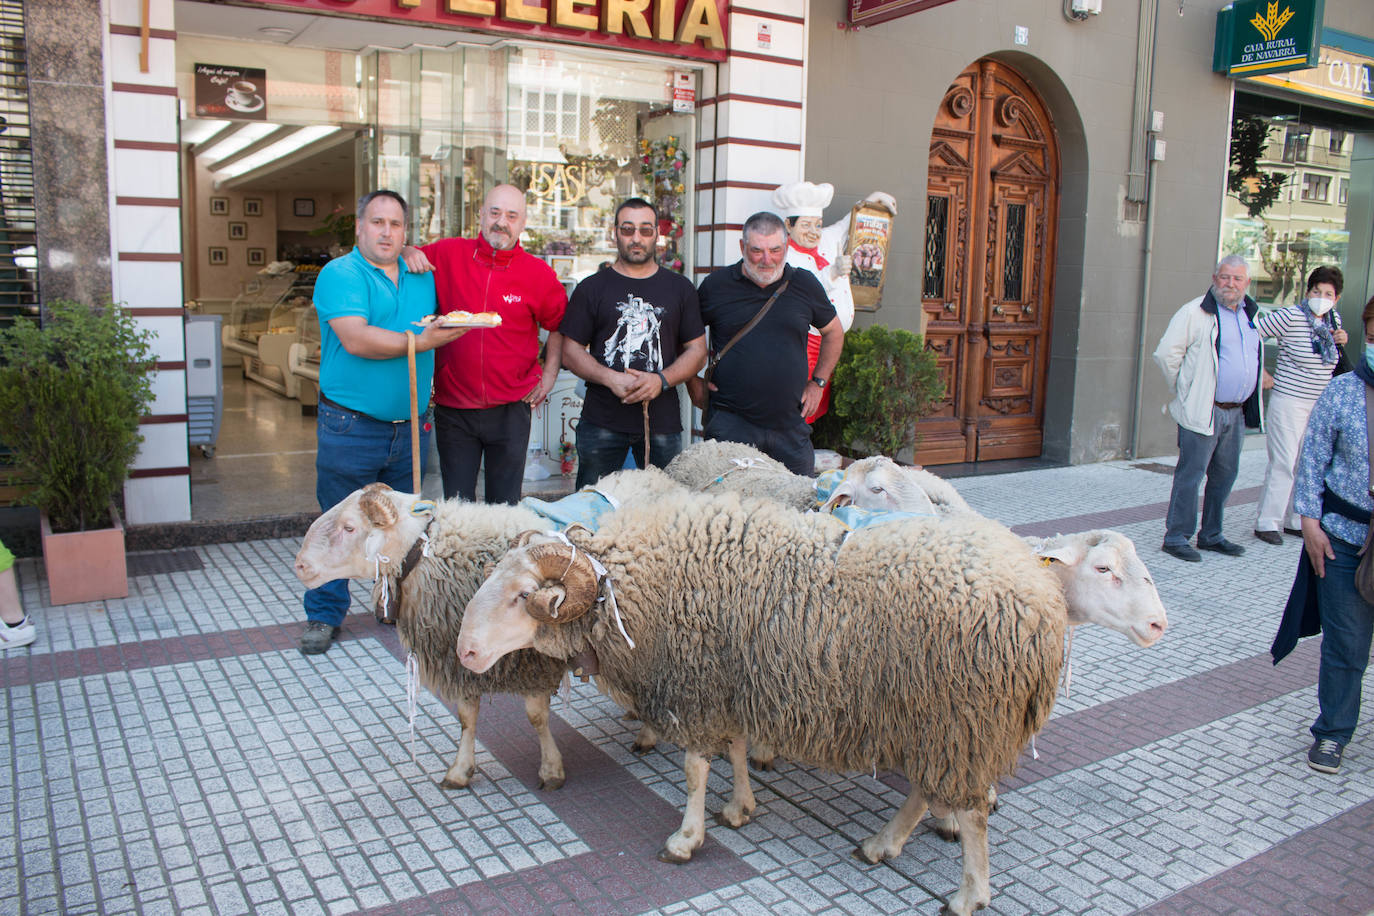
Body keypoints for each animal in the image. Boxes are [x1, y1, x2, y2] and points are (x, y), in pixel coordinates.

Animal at [296, 469, 692, 791]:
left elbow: (536, 717)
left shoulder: (532, 661)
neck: (429, 552)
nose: (300, 566)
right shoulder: (461, 655)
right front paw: (459, 771)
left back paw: (647, 733)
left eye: (349, 527)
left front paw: (551, 770)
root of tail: (655, 474)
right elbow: (466, 719)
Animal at [461, 486, 1071, 916]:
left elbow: (694, 770)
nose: (465, 651)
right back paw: (883, 845)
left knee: (970, 813)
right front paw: (740, 809)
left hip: (961, 718)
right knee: (928, 790)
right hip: (934, 721)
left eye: (523, 596)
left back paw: (968, 895)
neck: (640, 589)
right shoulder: (730, 686)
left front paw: (686, 839)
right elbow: (732, 751)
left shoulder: (698, 687)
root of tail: (1044, 605)